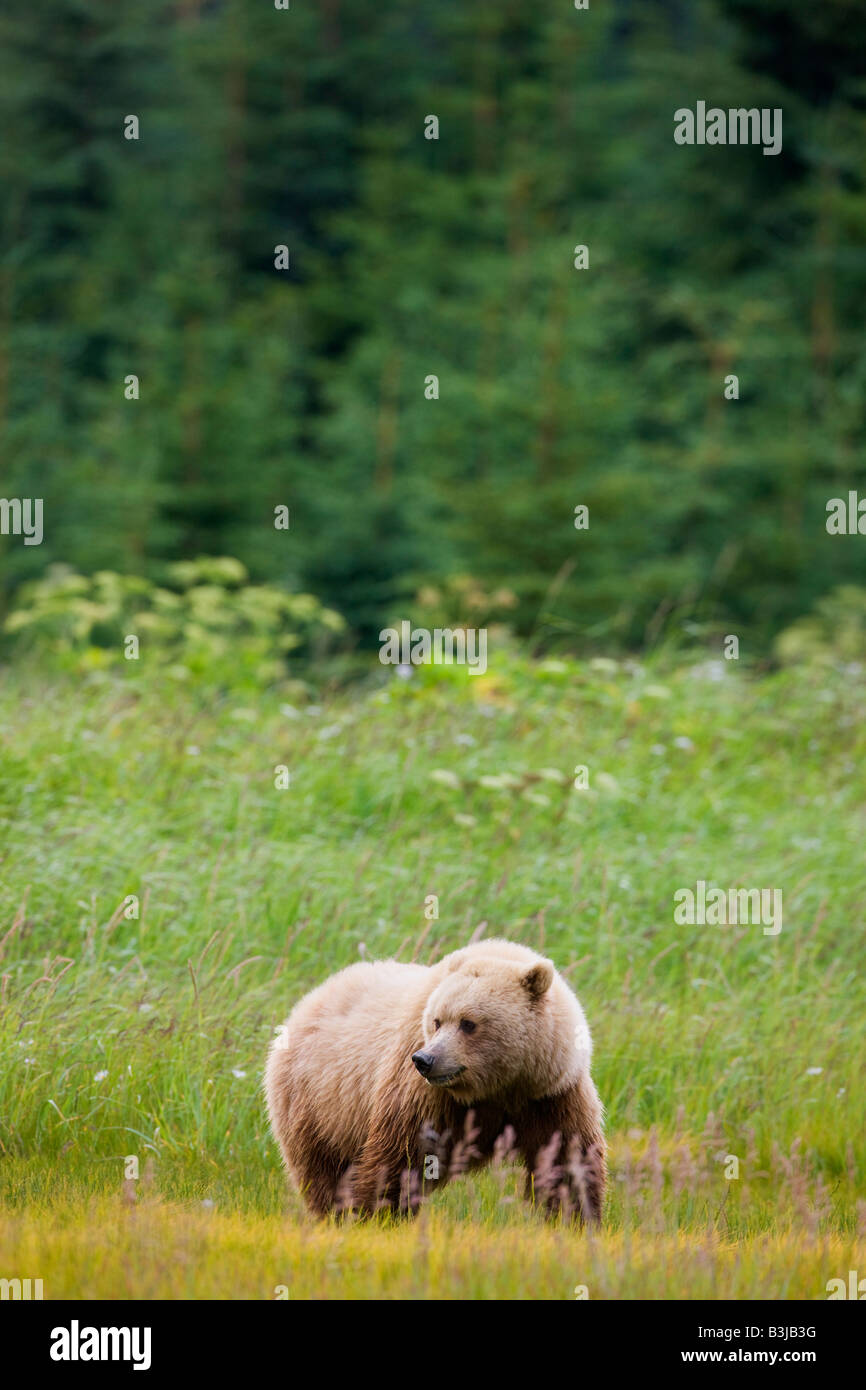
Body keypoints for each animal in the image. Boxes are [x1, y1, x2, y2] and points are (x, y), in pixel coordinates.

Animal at [265, 939, 608, 1223]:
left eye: (468, 1023)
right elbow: (401, 1157)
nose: (424, 1060)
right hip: (319, 1106)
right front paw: (377, 1215)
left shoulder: (551, 1095)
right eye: (437, 1021)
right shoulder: (425, 1096)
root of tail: (311, 998)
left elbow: (567, 1160)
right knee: (323, 1172)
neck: (500, 1088)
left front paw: (574, 1218)